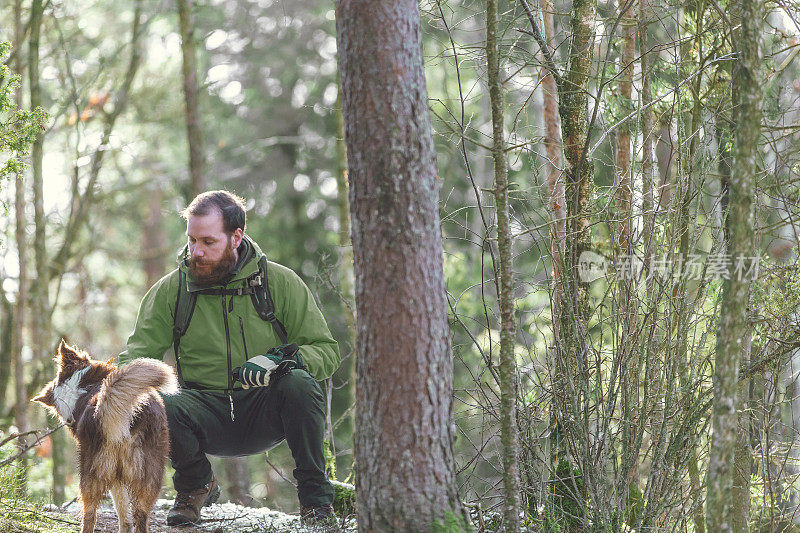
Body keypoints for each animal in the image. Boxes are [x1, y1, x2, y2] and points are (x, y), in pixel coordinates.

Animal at [32, 340, 178, 532]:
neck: (80, 388)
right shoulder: (118, 475)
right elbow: (123, 511)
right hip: (149, 473)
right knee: (141, 515)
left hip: (91, 472)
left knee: (89, 514)